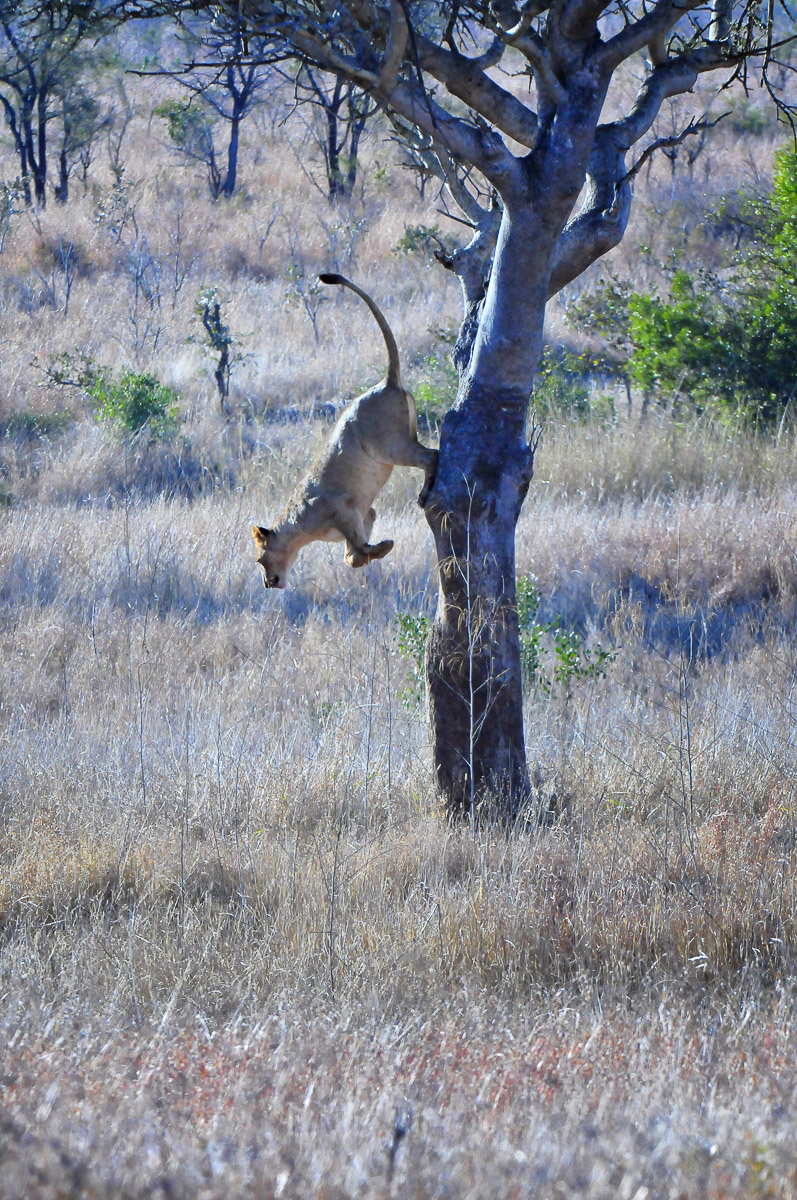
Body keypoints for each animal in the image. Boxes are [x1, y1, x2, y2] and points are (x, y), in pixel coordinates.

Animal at [252, 273, 438, 589]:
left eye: (259, 560)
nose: (267, 583)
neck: (297, 525)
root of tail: (386, 382)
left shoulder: (344, 507)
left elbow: (356, 548)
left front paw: (381, 548)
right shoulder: (365, 514)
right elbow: (351, 556)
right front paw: (370, 554)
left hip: (390, 447)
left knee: (432, 456)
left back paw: (424, 496)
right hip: (402, 439)